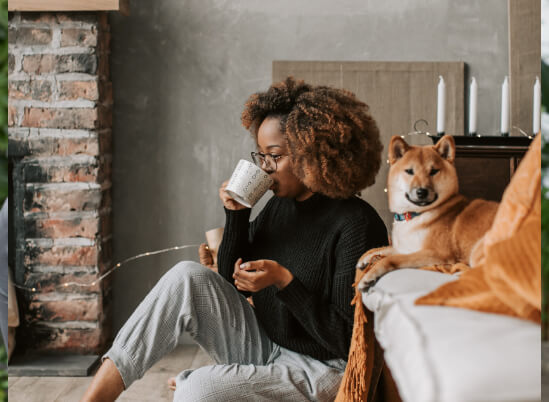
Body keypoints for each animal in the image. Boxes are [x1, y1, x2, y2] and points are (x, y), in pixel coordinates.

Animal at [358, 134, 498, 288]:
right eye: (409, 171)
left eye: (433, 171)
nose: (422, 192)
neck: (415, 215)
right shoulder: (406, 247)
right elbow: (385, 248)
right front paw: (366, 258)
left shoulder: (436, 254)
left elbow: (391, 259)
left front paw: (370, 275)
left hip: (478, 251)